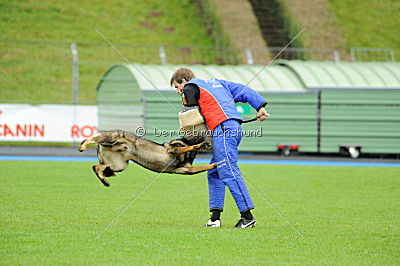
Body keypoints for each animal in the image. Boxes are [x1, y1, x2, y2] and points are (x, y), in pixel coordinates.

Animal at [78, 130, 216, 186]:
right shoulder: (173, 150)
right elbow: (190, 147)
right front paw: (199, 145)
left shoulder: (187, 170)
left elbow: (205, 167)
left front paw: (216, 164)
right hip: (112, 138)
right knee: (89, 139)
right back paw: (83, 146)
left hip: (119, 165)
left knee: (96, 167)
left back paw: (104, 181)